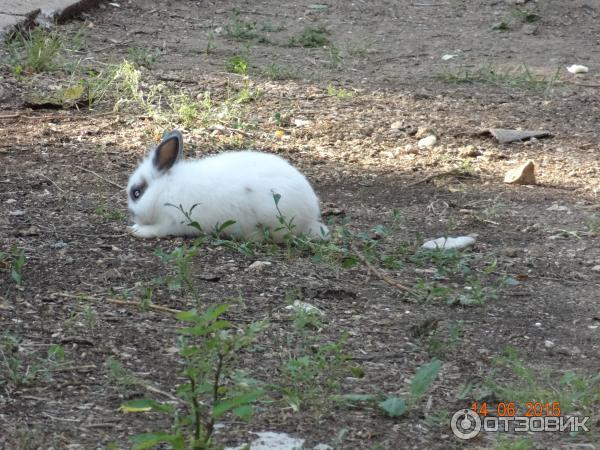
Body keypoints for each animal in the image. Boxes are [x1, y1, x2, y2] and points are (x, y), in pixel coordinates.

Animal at [125, 130, 328, 243]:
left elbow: (158, 229)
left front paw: (137, 230)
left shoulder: (173, 221)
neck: (162, 190)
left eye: (137, 193)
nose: (133, 215)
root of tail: (311, 214)